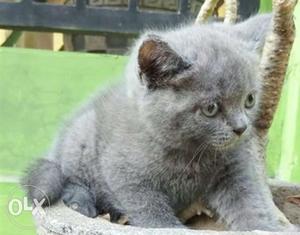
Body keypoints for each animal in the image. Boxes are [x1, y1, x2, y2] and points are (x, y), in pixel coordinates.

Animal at [22, 14, 296, 231]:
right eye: (211, 108)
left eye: (249, 99)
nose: (241, 128)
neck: (190, 153)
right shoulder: (127, 177)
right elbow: (152, 213)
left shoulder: (234, 170)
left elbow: (250, 202)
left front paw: (265, 227)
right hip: (81, 137)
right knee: (66, 173)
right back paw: (81, 202)